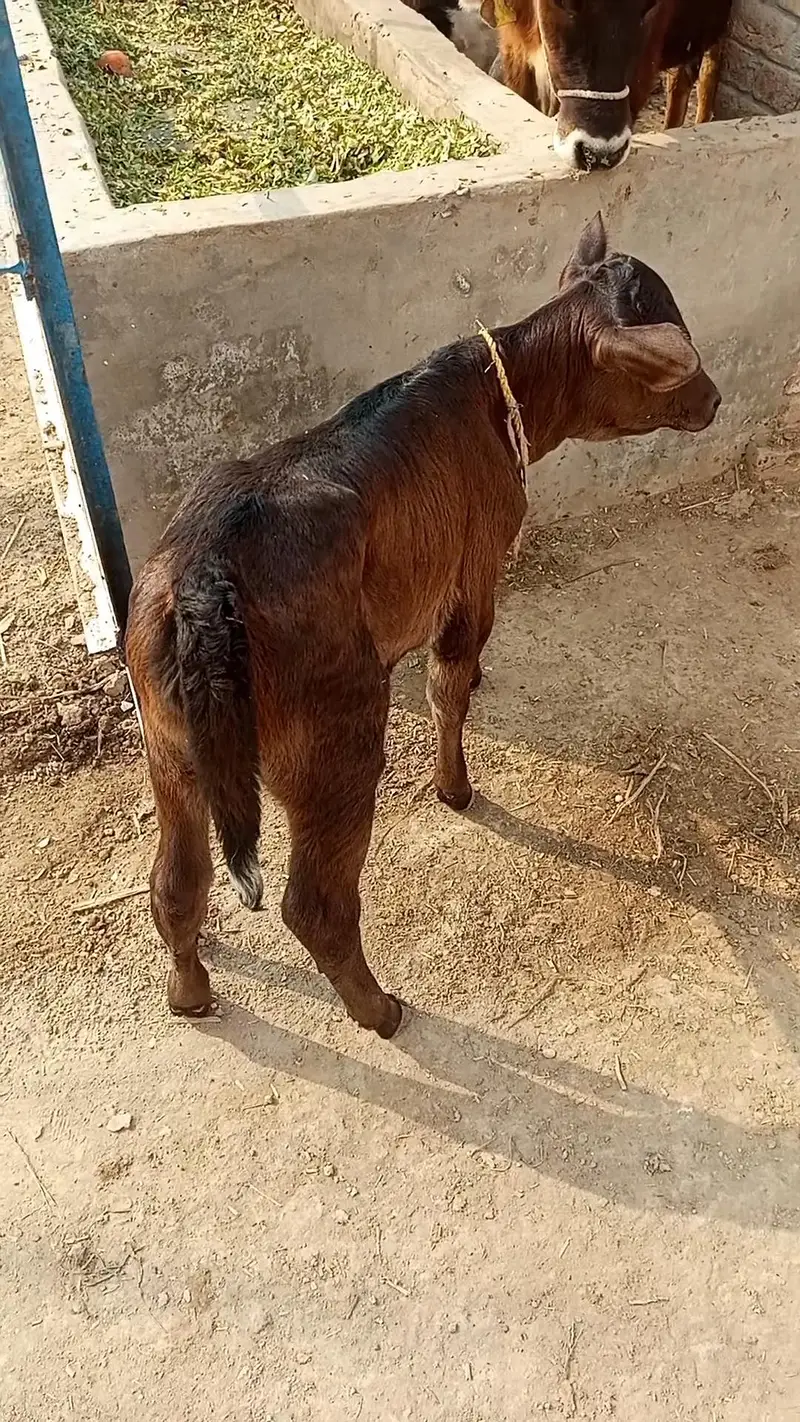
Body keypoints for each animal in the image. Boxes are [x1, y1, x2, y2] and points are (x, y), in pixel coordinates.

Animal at [126, 215, 720, 1038]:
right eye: (673, 359)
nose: (715, 398)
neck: (498, 396)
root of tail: (203, 574)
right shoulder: (473, 572)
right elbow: (449, 687)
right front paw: (455, 789)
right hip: (333, 741)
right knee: (315, 904)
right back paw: (378, 1009)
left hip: (170, 751)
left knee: (176, 884)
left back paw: (189, 993)